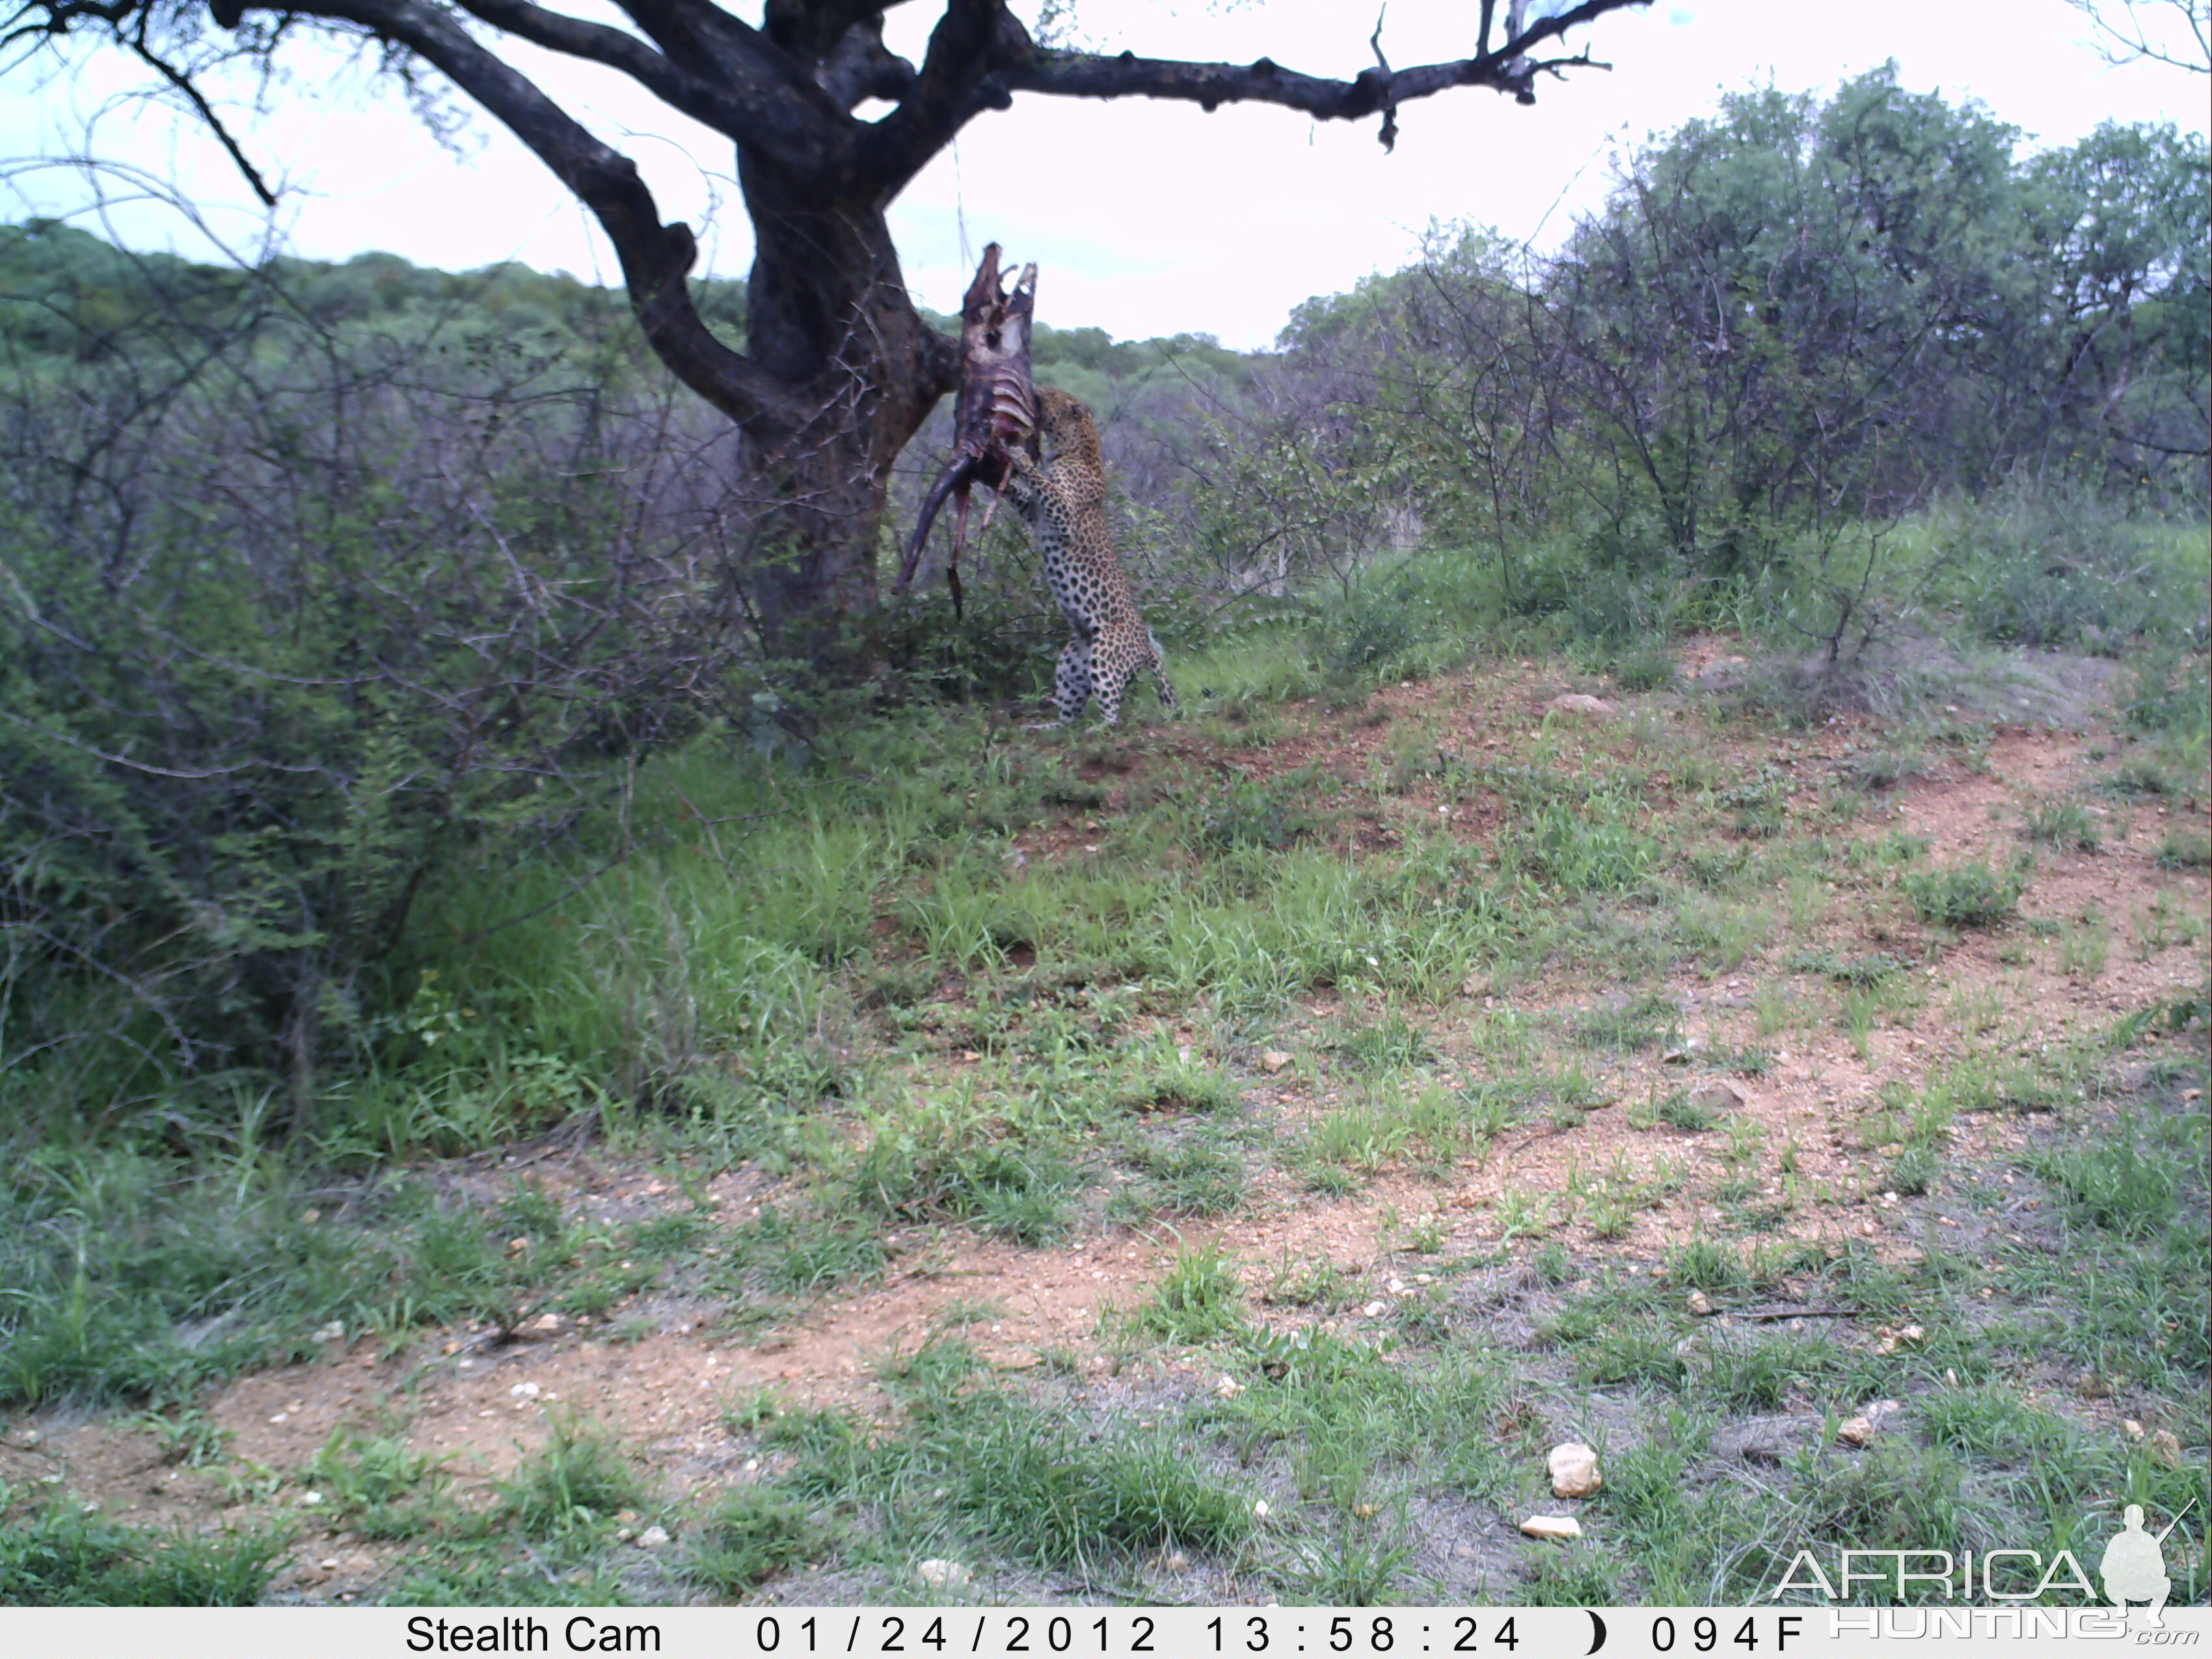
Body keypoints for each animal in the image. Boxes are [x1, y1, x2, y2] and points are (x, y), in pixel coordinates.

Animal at [999, 389, 1176, 734]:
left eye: (1049, 395)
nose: (1035, 390)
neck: (1071, 449)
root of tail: (1146, 647)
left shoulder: (1062, 515)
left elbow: (1043, 484)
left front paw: (1020, 458)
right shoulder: (1034, 512)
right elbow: (1020, 494)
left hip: (1105, 654)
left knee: (1112, 711)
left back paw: (1099, 728)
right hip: (1071, 664)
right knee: (1070, 714)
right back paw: (1044, 728)